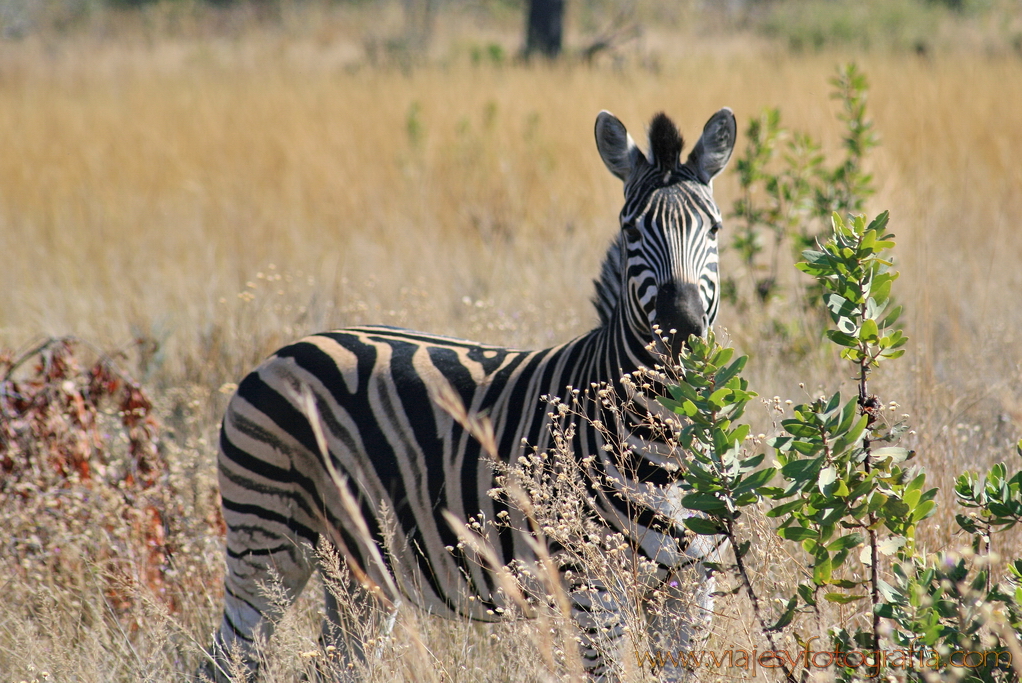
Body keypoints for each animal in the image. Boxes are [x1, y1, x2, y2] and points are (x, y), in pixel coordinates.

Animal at [207, 107, 735, 683]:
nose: (681, 328)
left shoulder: (692, 587)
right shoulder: (593, 589)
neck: (662, 432)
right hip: (268, 538)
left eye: (714, 228)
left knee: (335, 661)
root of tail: (279, 354)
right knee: (228, 657)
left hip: (360, 569)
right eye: (632, 228)